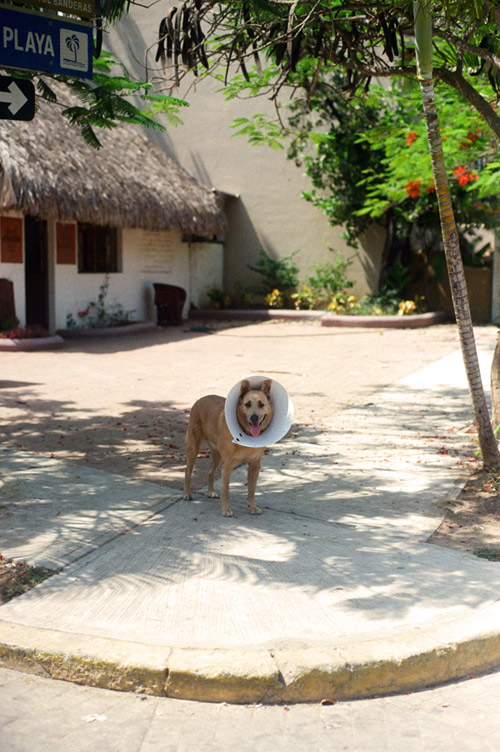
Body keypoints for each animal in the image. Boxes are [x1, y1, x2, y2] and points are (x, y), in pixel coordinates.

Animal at [183, 379, 273, 517]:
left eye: (261, 404)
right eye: (247, 404)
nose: (254, 418)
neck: (246, 435)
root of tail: (201, 399)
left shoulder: (255, 465)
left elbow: (252, 490)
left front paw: (252, 507)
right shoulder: (228, 465)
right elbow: (225, 490)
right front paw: (226, 509)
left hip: (217, 455)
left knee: (210, 471)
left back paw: (211, 492)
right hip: (194, 448)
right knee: (188, 471)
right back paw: (187, 494)